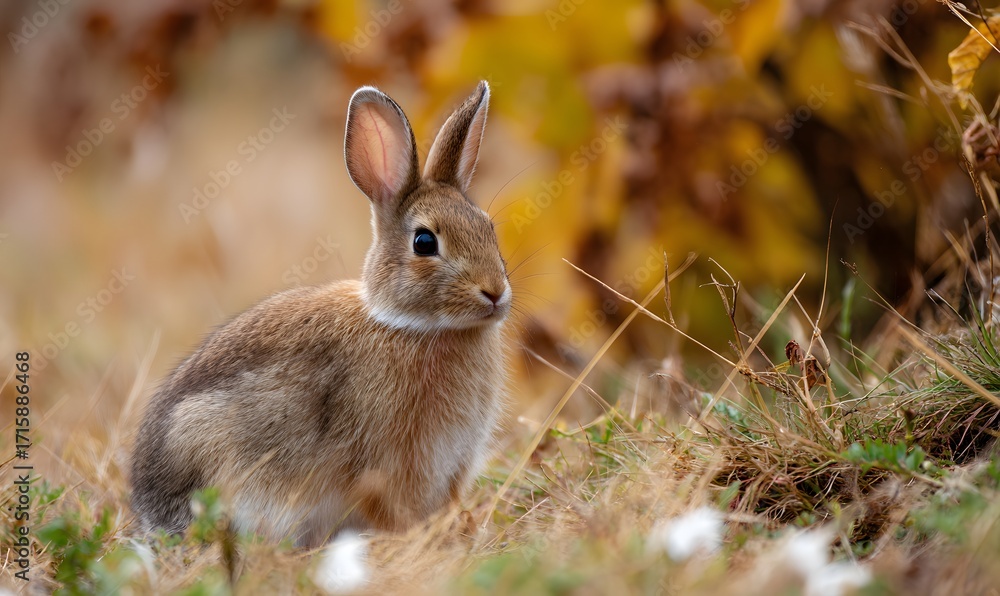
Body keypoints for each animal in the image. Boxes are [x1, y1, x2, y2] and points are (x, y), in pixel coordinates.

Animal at [129, 81, 510, 548]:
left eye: (488, 228)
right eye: (424, 242)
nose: (494, 293)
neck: (409, 325)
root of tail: (149, 513)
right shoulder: (388, 465)